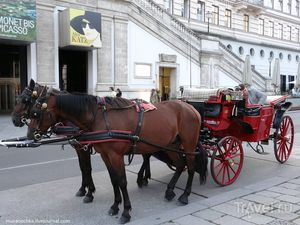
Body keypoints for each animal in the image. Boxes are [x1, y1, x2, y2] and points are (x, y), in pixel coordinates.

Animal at [28, 86, 207, 223]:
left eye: (36, 113)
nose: (30, 135)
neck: (99, 117)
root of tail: (191, 108)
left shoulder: (116, 155)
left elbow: (122, 181)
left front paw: (126, 211)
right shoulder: (106, 155)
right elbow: (113, 180)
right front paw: (115, 206)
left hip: (189, 144)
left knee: (191, 166)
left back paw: (185, 195)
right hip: (171, 145)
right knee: (180, 165)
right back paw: (170, 190)